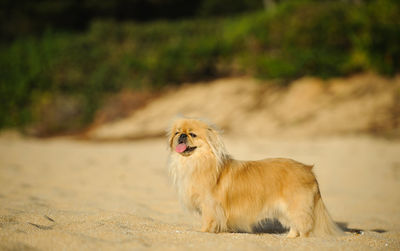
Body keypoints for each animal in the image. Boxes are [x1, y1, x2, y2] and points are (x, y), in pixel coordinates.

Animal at [167, 117, 342, 237]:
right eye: (177, 132)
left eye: (192, 134)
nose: (182, 135)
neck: (196, 162)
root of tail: (308, 170)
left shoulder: (209, 205)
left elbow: (207, 222)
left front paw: (203, 232)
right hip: (285, 209)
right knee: (296, 226)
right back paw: (289, 238)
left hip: (296, 206)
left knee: (304, 227)